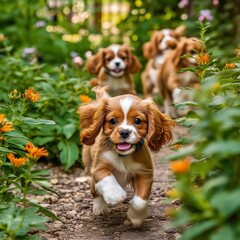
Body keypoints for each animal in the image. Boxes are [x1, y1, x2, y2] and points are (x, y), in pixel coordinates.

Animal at [79, 86, 174, 227]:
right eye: (113, 121)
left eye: (137, 121)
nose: (124, 132)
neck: (123, 156)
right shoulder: (98, 167)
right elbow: (107, 177)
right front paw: (115, 194)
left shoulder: (145, 173)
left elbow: (140, 201)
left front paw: (136, 217)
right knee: (94, 189)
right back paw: (100, 207)